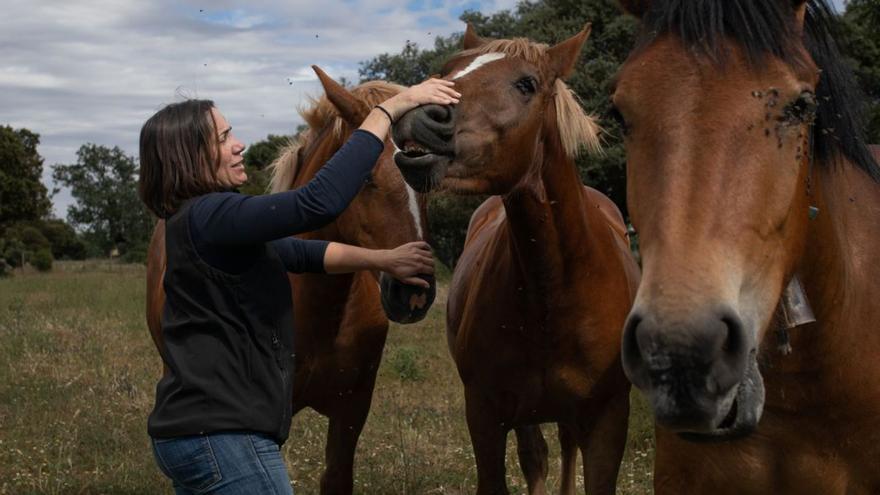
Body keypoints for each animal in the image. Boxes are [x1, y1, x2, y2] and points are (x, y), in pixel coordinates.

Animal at [392, 26, 640, 495]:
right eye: (448, 69)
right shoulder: (486, 416)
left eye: (527, 84)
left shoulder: (608, 420)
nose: (419, 116)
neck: (555, 292)